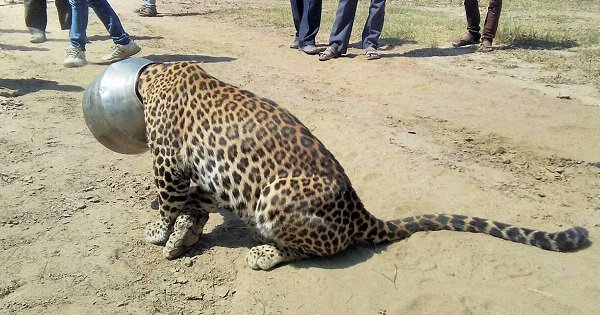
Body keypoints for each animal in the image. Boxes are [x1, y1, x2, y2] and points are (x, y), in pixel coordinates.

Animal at [135, 61, 584, 272]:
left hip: (276, 195)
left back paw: (264, 252)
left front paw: (158, 231)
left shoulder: (167, 161)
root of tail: (359, 211)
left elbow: (167, 201)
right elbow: (194, 203)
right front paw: (183, 235)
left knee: (315, 249)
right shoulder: (204, 173)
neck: (159, 72)